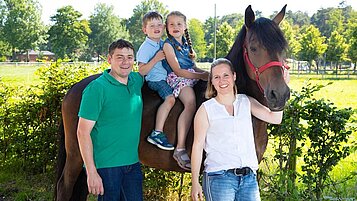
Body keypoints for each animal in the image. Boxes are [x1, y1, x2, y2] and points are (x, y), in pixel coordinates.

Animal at [55, 4, 290, 201]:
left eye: (283, 48)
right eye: (253, 47)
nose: (279, 94)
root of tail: (73, 89)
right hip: (77, 155)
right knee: (64, 188)